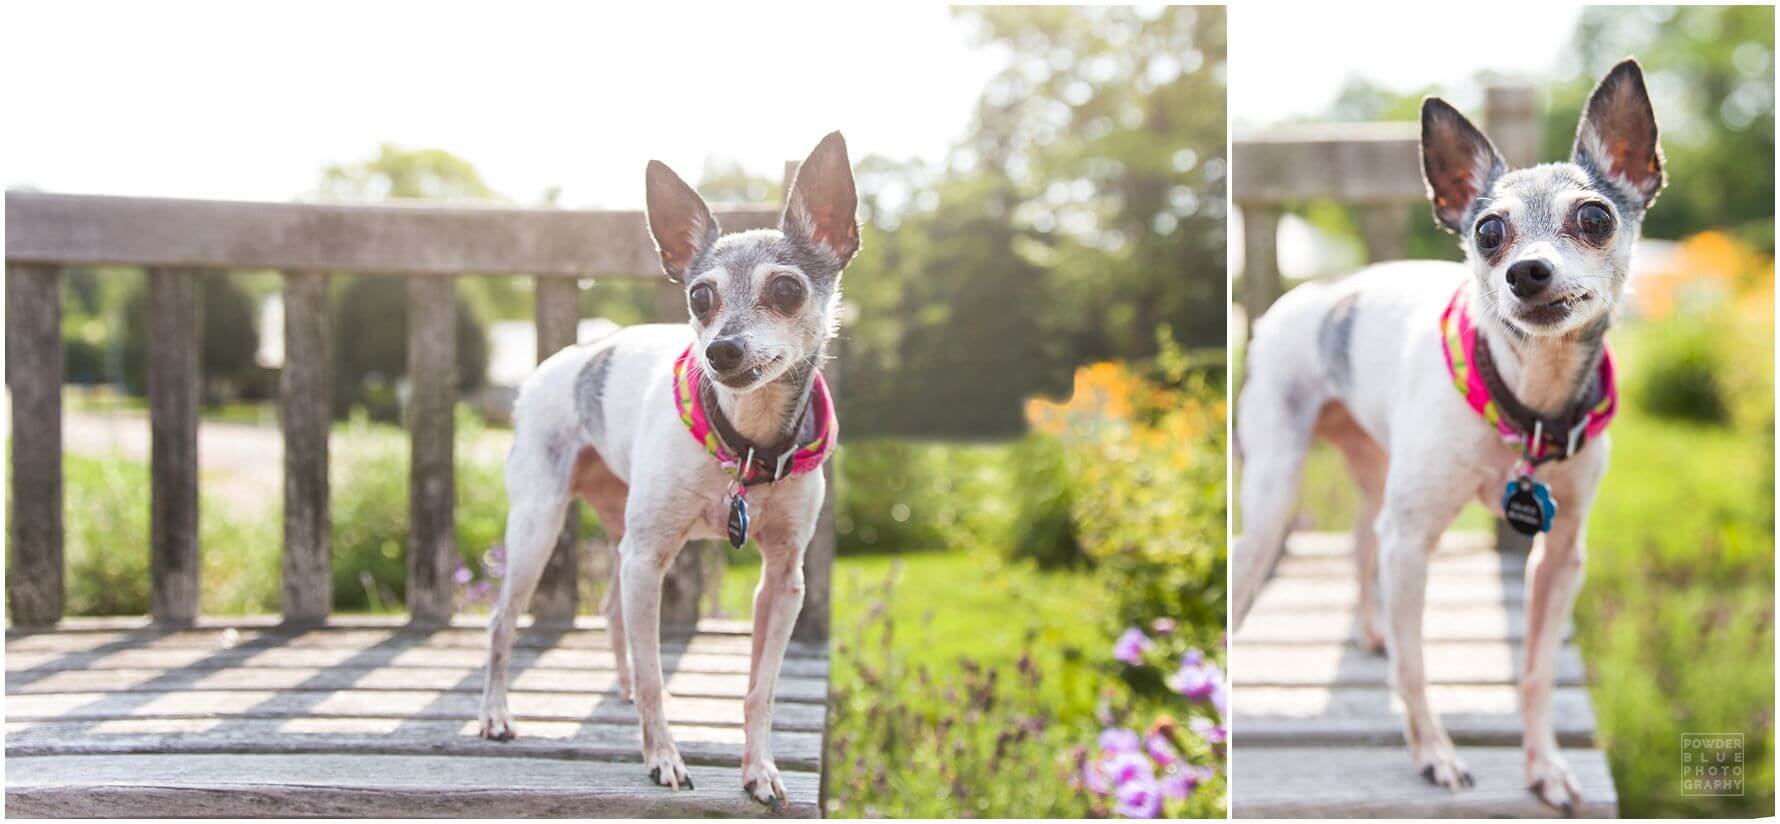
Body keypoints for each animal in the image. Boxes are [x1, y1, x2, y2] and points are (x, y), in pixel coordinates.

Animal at [480, 130, 854, 807]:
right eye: (698, 297)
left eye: (787, 291)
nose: (721, 349)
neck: (745, 441)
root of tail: (555, 363)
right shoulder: (648, 558)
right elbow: (659, 675)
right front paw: (663, 758)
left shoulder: (783, 581)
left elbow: (759, 689)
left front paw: (760, 769)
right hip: (539, 528)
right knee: (501, 621)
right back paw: (496, 715)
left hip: (619, 530)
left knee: (610, 610)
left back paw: (621, 687)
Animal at [1231, 61, 1658, 815]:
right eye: (1488, 231)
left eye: (1595, 218)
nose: (1526, 272)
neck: (1528, 402)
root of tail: (1297, 298)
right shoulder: (1413, 541)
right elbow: (1419, 667)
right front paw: (1434, 754)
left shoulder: (1560, 558)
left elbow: (1536, 673)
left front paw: (1544, 764)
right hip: (1273, 492)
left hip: (1374, 472)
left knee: (1359, 543)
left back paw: (1373, 632)